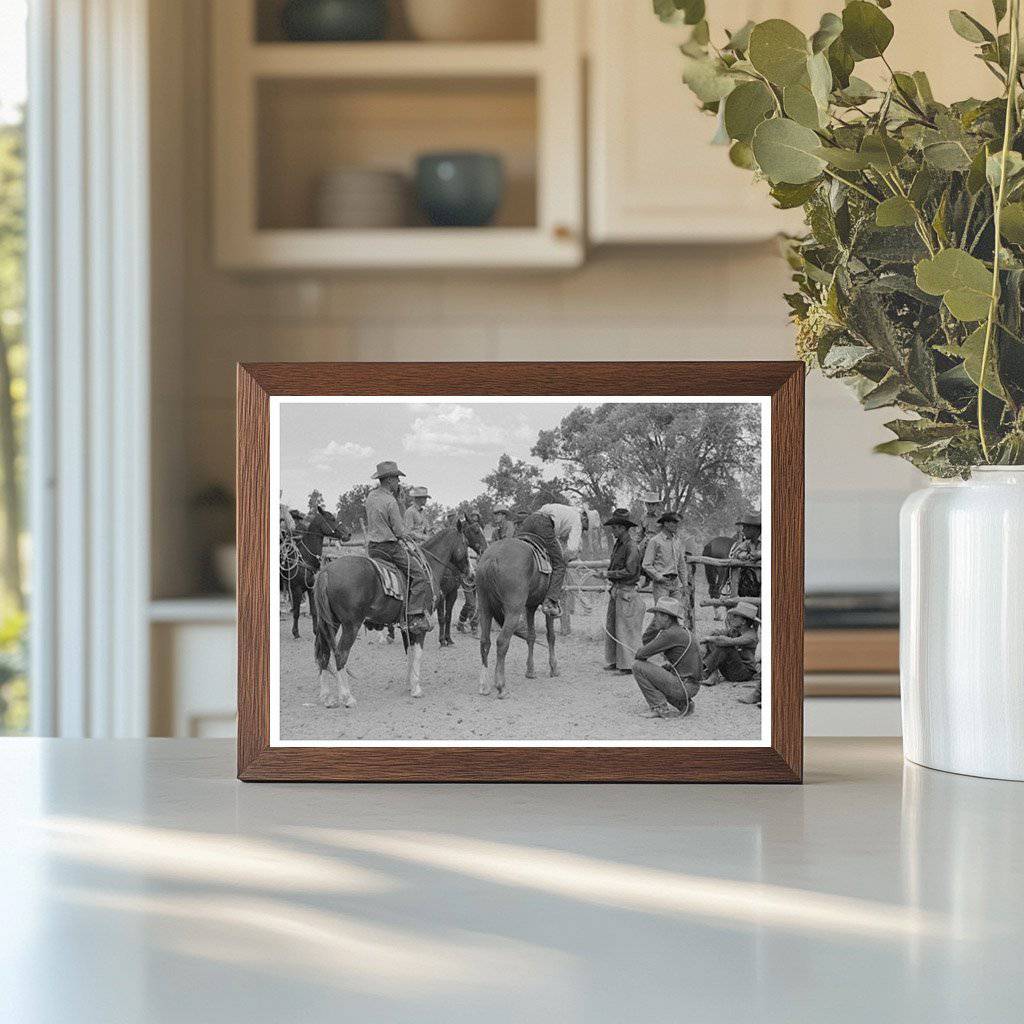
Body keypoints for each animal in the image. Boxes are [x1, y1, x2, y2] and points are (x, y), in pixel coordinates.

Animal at [311, 524, 471, 708]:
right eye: (466, 543)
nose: (470, 572)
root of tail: (326, 572)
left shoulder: (406, 626)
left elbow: (409, 653)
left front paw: (409, 684)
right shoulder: (420, 626)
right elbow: (417, 654)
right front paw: (416, 688)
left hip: (329, 623)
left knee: (324, 652)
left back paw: (327, 697)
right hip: (351, 626)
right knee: (340, 654)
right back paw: (347, 697)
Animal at [473, 536, 561, 696]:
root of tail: (492, 557)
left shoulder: (530, 607)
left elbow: (531, 636)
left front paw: (530, 671)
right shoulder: (547, 610)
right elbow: (551, 636)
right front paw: (554, 668)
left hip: (485, 609)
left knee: (485, 642)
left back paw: (484, 686)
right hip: (513, 612)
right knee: (502, 642)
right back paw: (501, 686)